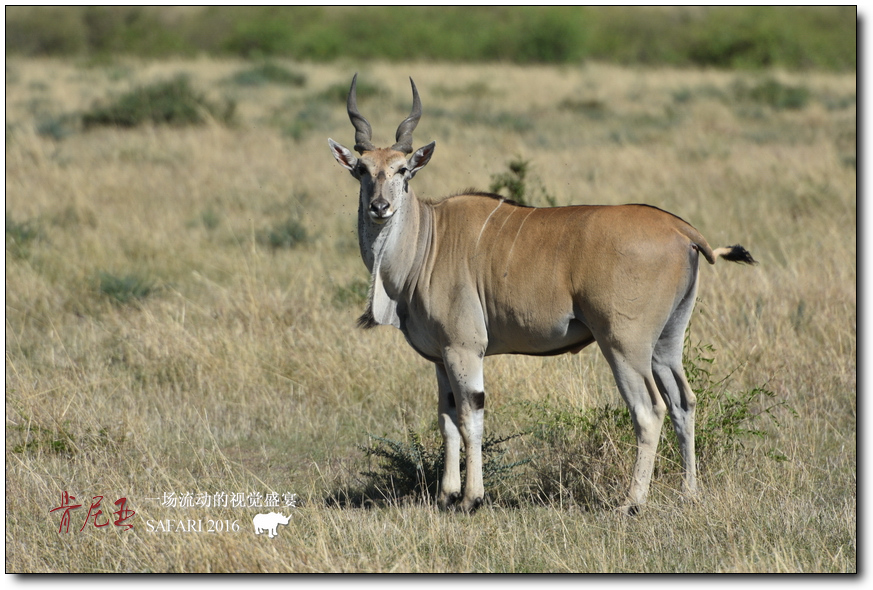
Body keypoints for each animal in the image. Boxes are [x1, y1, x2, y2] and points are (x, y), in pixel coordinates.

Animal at [328, 75, 756, 520]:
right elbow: (447, 421)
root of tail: (681, 230)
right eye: (362, 170)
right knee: (683, 403)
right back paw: (689, 494)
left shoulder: (465, 350)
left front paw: (471, 498)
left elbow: (470, 418)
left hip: (624, 345)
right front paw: (446, 496)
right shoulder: (441, 358)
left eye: (403, 170)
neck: (427, 240)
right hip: (666, 344)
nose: (380, 206)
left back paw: (632, 502)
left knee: (649, 410)